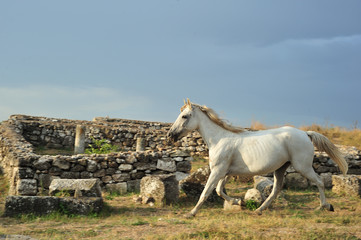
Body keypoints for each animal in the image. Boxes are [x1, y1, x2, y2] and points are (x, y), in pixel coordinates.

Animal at [167, 98, 348, 217]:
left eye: (184, 116)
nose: (170, 135)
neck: (219, 139)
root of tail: (305, 133)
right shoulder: (225, 173)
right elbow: (219, 191)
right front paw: (239, 202)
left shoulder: (218, 171)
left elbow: (206, 192)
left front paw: (190, 213)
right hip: (280, 169)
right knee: (276, 190)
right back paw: (259, 209)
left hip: (302, 166)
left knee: (319, 181)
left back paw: (325, 206)